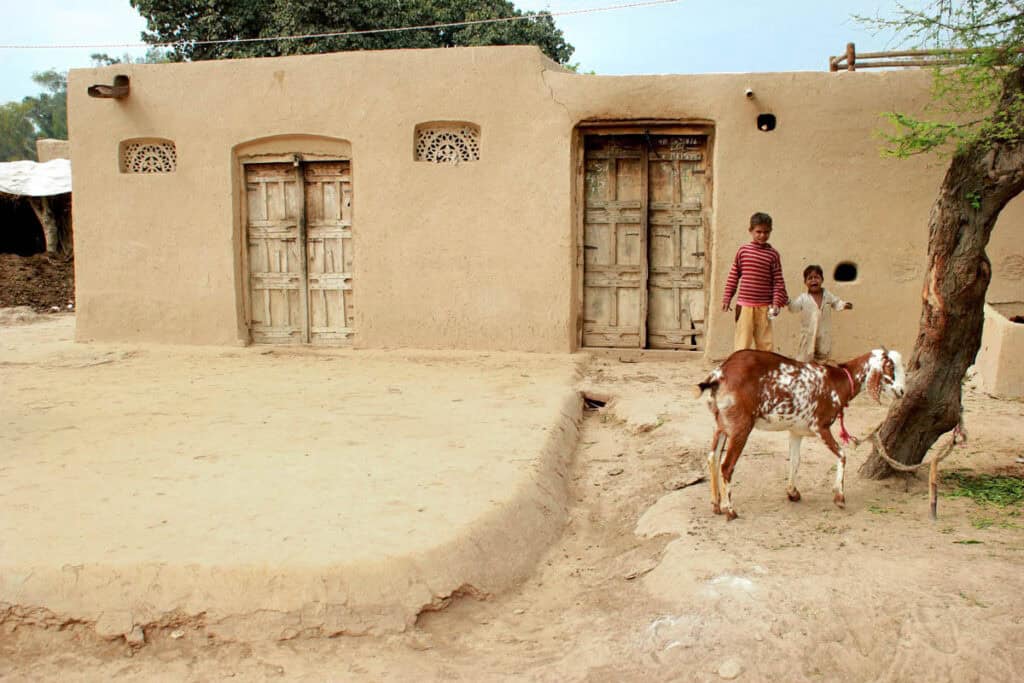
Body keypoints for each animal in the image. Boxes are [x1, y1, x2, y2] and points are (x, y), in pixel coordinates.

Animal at [696, 350, 905, 520]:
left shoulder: (796, 431)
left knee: (712, 457)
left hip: (722, 424)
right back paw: (730, 510)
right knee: (726, 466)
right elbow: (842, 455)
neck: (839, 381)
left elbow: (795, 461)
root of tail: (719, 375)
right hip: (740, 427)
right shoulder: (820, 426)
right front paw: (839, 497)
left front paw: (792, 493)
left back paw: (716, 505)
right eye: (890, 367)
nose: (902, 391)